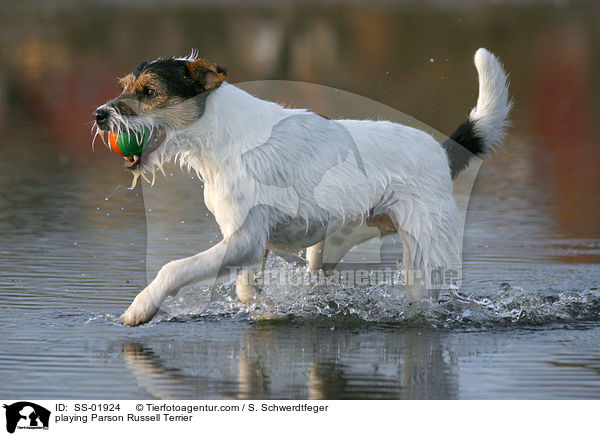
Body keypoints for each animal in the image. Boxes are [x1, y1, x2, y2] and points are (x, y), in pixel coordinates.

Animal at [94, 49, 510, 326]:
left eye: (149, 92)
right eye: (126, 87)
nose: (99, 115)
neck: (221, 138)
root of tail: (440, 152)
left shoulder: (244, 239)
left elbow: (174, 268)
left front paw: (140, 308)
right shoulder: (251, 243)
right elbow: (246, 290)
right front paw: (270, 309)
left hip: (422, 260)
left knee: (422, 301)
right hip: (329, 246)